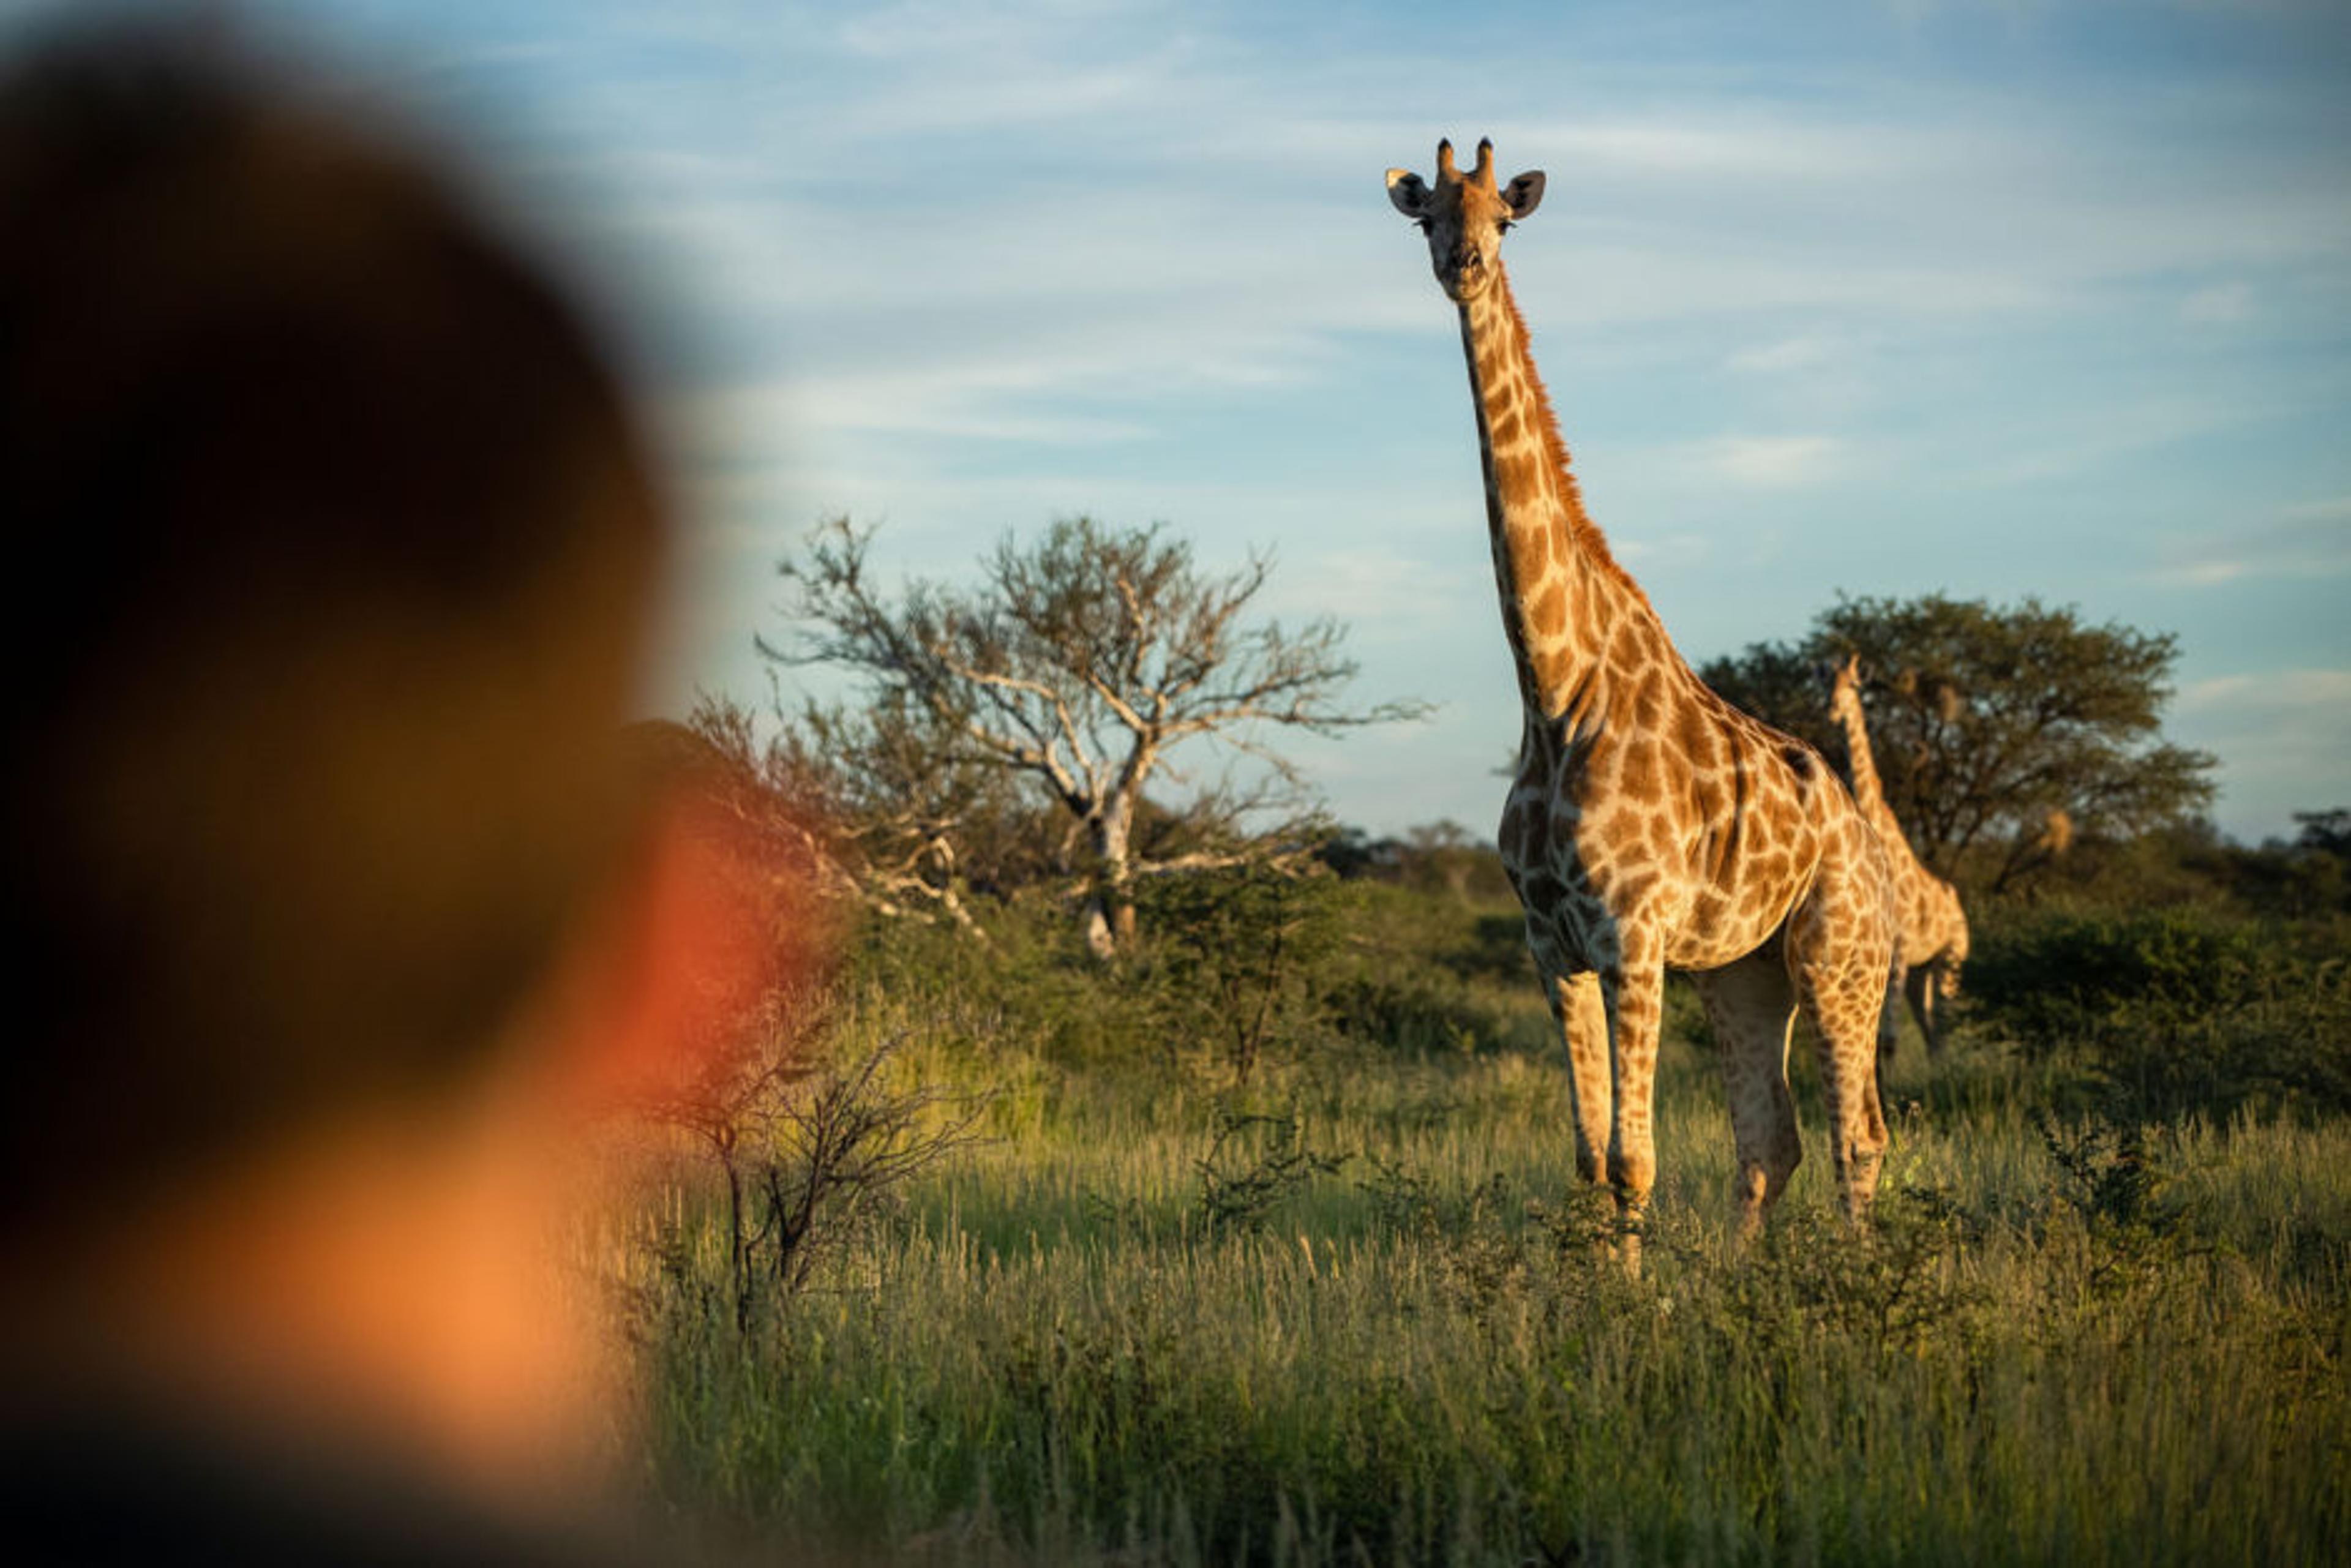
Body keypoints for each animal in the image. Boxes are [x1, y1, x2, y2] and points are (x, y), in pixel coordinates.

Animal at [1385, 138, 1895, 1253]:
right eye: (1427, 216)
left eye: (1506, 219)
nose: (1465, 264)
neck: (1555, 692)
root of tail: (1871, 839)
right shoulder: (1552, 944)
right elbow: (1590, 1164)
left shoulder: (1633, 935)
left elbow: (1635, 1163)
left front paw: (1638, 1294)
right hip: (1745, 969)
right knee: (1775, 1139)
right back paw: (1748, 1280)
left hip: (1841, 955)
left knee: (1860, 1137)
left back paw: (1861, 1279)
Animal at [1826, 653, 1969, 1068]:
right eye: (1827, 682)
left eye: (1853, 685)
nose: (1833, 711)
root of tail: (1960, 909)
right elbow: (1877, 1037)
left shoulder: (1900, 948)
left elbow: (1887, 1037)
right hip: (1923, 972)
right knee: (1930, 1025)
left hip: (1951, 960)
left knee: (1945, 1020)